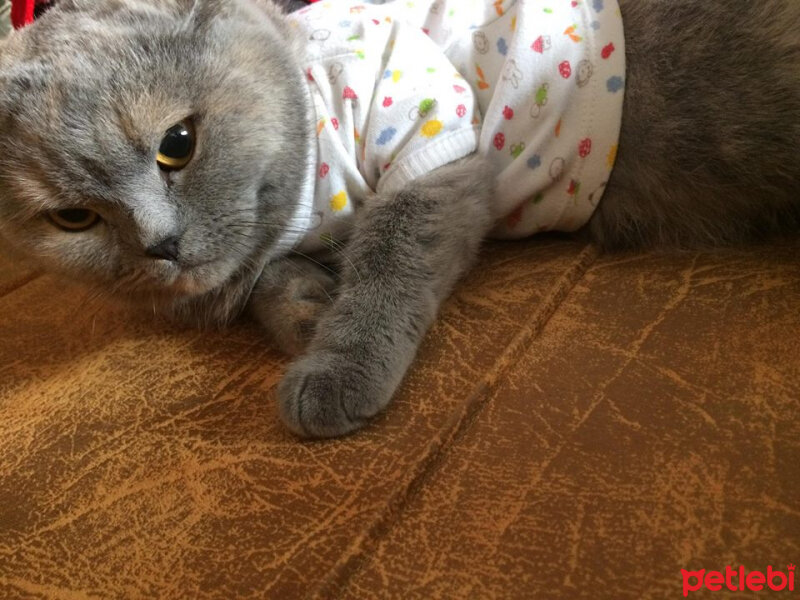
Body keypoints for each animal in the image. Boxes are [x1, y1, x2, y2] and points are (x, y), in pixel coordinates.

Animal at [0, 0, 796, 436]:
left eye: (179, 143)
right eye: (73, 218)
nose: (158, 244)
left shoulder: (431, 142)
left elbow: (390, 260)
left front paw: (335, 368)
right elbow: (273, 280)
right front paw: (307, 314)